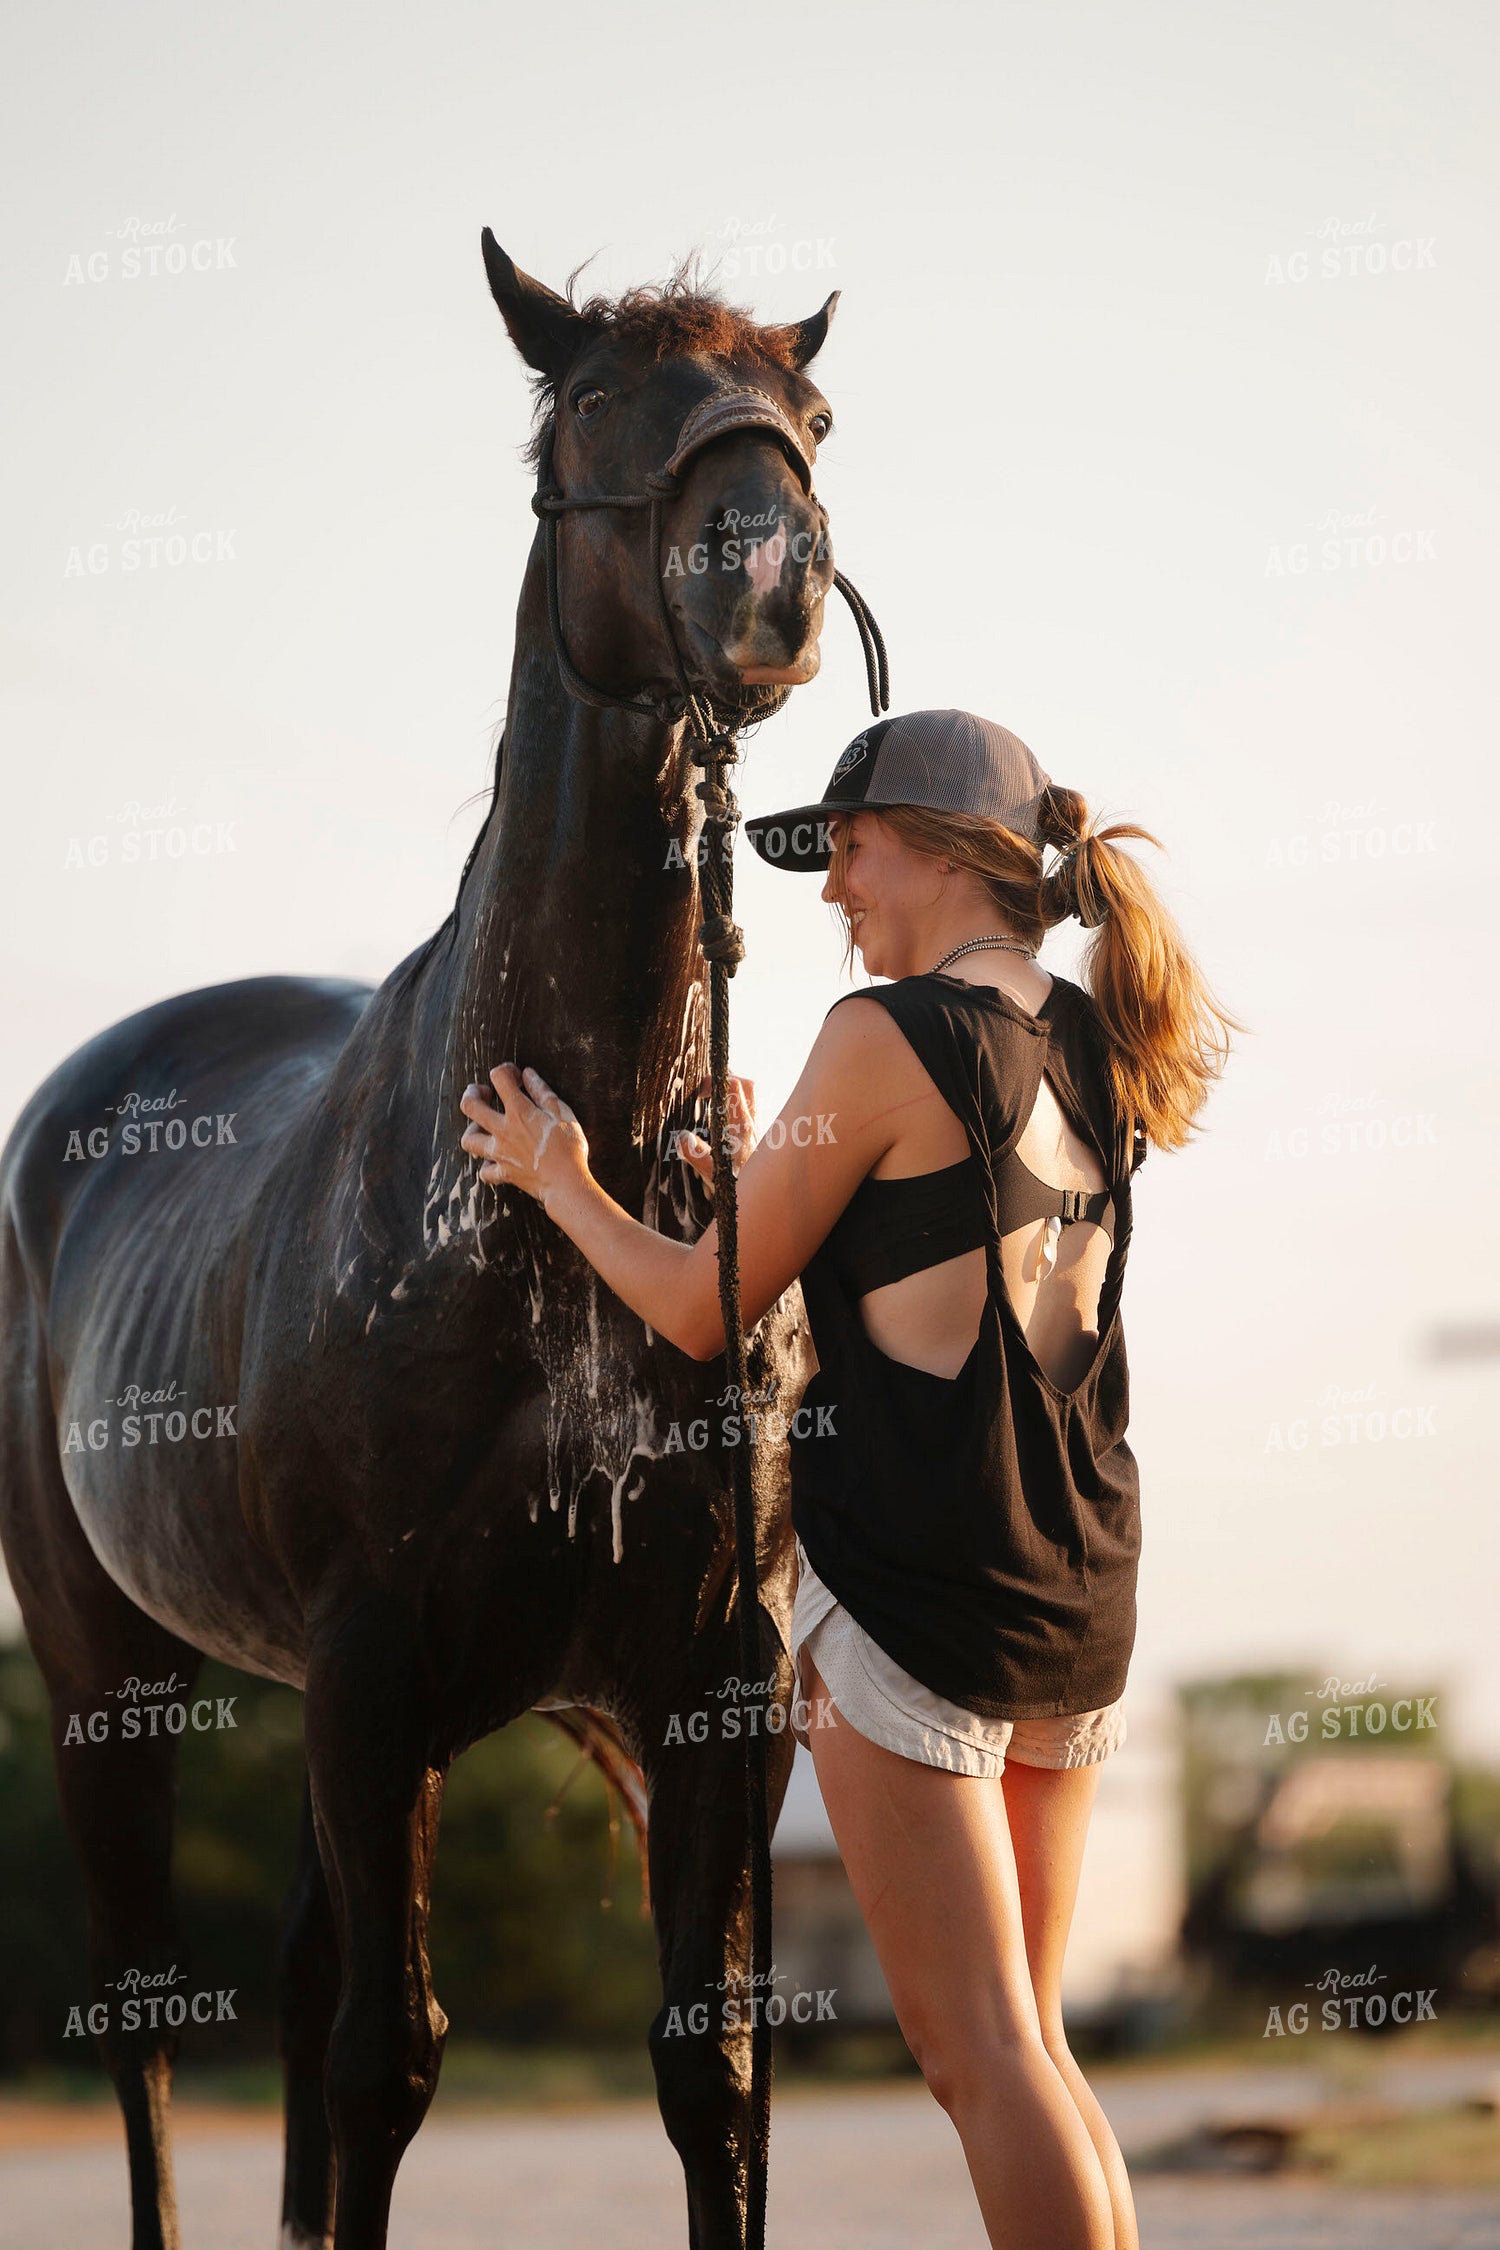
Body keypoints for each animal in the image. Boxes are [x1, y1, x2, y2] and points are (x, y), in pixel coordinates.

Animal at [0, 231, 853, 2249]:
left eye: (815, 407)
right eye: (596, 401)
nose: (772, 572)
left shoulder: (707, 1681)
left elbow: (717, 2071)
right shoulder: (378, 1672)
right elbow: (393, 2055)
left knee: (301, 1991)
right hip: (104, 1675)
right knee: (152, 2021)